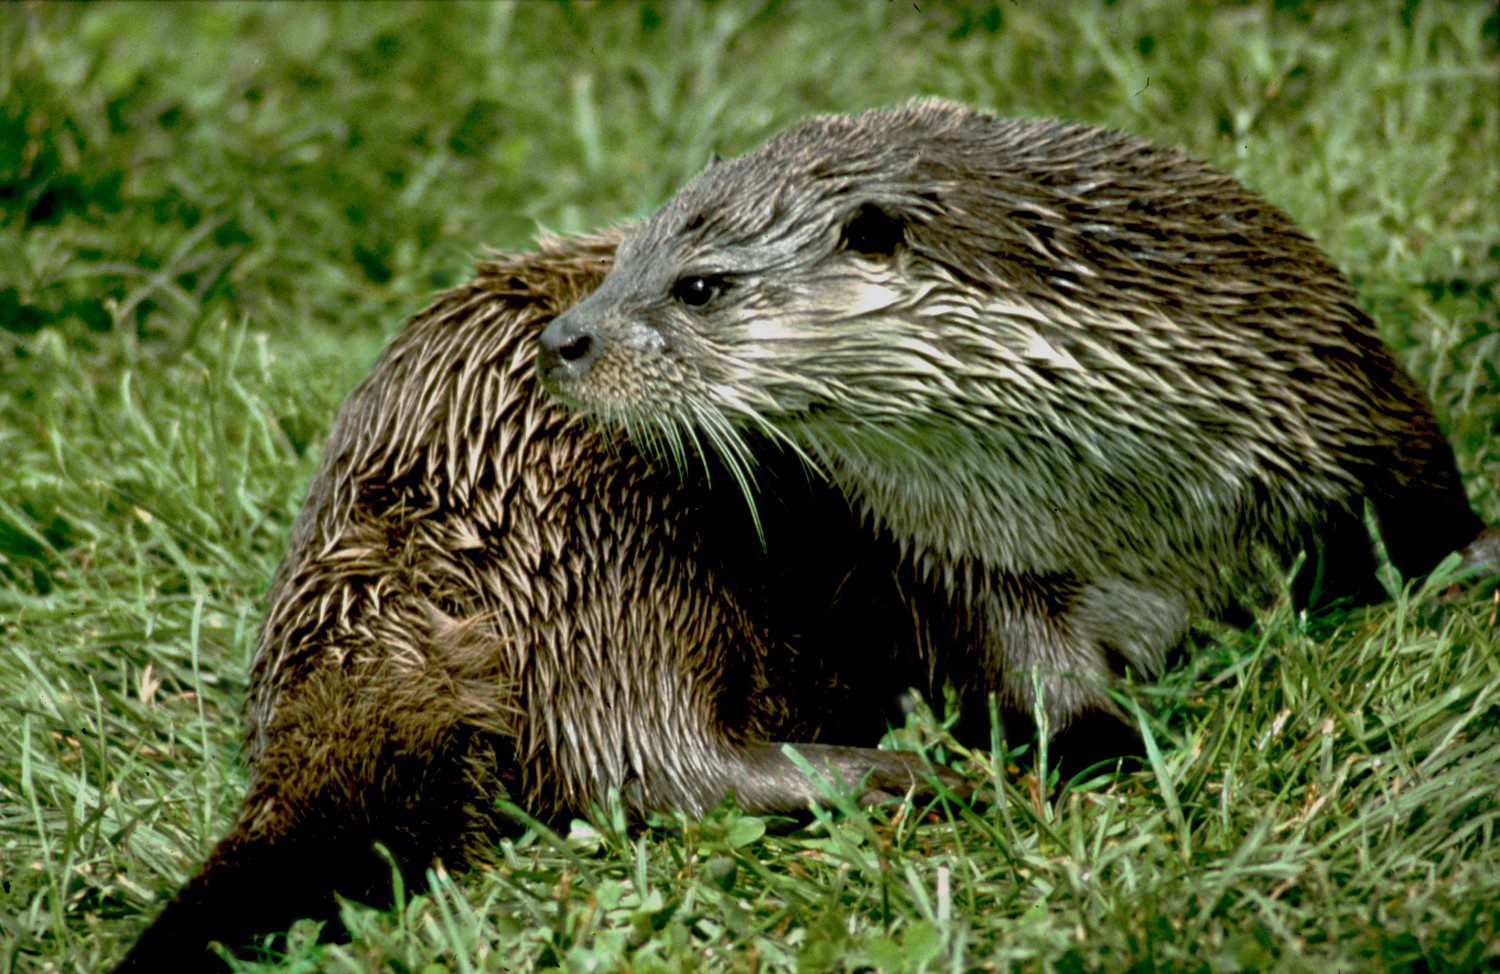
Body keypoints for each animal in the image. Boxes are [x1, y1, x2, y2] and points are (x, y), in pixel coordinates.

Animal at [539, 99, 1494, 744]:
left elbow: (1421, 510)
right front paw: (1097, 740)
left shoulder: (1343, 400)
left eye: (699, 286)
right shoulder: (958, 559)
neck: (1142, 514)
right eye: (624, 255)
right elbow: (1023, 663)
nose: (561, 339)